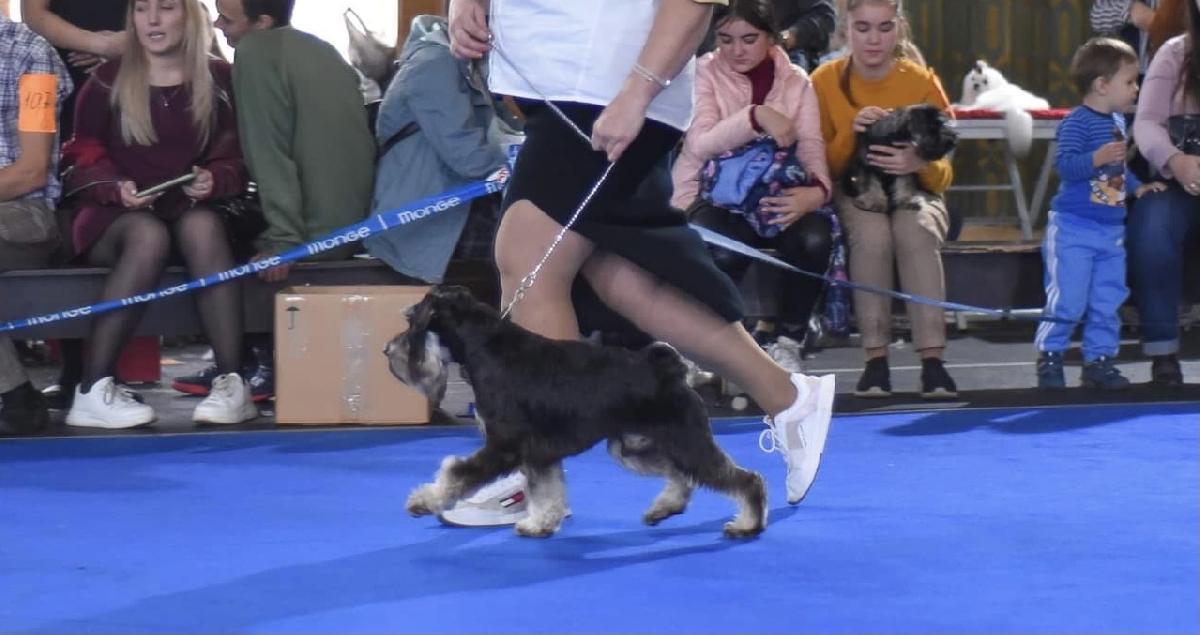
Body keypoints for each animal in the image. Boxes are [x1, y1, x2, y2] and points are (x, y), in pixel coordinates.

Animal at [384, 286, 767, 539]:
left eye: (411, 320)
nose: (388, 349)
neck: (487, 347)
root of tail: (671, 368)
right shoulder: (539, 453)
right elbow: (548, 489)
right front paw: (541, 523)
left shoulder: (503, 447)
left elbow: (455, 473)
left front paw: (424, 500)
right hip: (635, 447)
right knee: (680, 477)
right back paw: (663, 509)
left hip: (685, 442)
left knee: (745, 479)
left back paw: (747, 524)